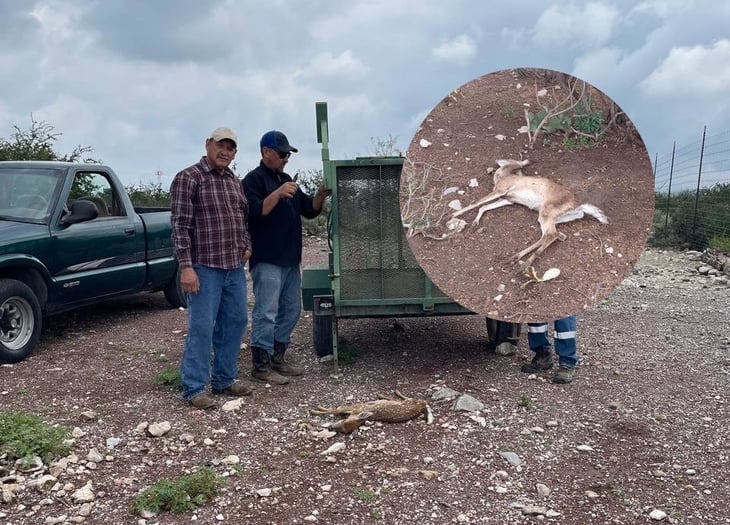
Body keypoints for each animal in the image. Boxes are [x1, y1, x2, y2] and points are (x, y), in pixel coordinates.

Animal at [452, 159, 604, 266]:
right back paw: (514, 258)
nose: (527, 161)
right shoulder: (507, 200)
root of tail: (577, 206)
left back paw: (524, 265)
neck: (502, 176)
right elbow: (483, 207)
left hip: (546, 212)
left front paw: (453, 215)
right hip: (551, 217)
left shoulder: (501, 191)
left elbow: (476, 203)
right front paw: (474, 223)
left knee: (550, 235)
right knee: (549, 234)